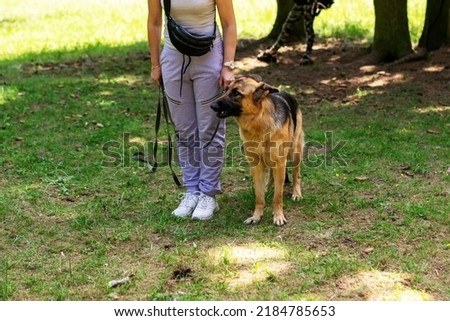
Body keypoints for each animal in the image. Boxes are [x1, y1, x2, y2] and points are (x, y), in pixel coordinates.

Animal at [210, 74, 302, 225]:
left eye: (236, 93)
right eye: (226, 89)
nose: (212, 105)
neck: (259, 120)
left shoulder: (280, 163)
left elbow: (278, 196)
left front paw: (278, 216)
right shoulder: (256, 165)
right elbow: (259, 196)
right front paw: (256, 216)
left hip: (295, 153)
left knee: (296, 174)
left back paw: (296, 193)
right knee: (271, 175)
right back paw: (268, 186)